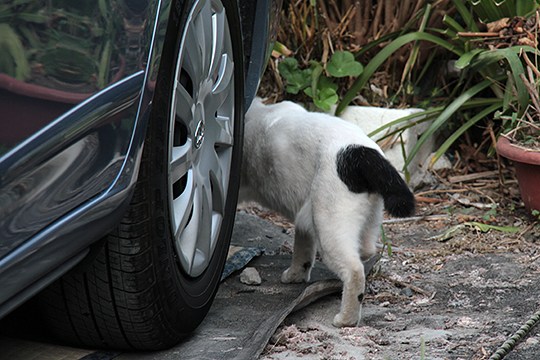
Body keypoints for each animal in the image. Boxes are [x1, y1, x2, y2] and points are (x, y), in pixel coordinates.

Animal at [238, 97, 416, 326]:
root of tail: (362, 153)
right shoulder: (304, 214)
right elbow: (303, 248)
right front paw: (296, 274)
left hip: (328, 226)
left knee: (354, 270)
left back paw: (345, 319)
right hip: (363, 219)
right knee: (366, 251)